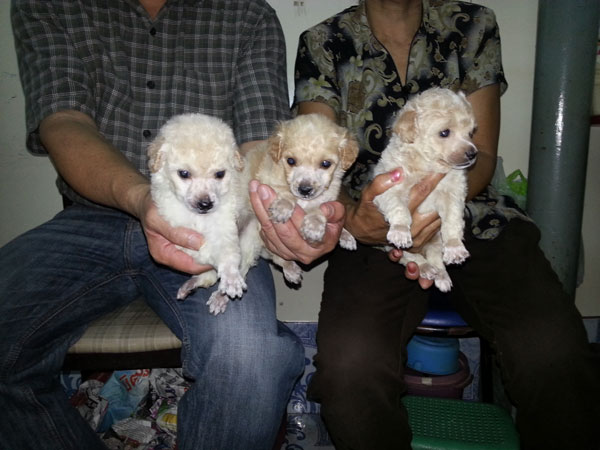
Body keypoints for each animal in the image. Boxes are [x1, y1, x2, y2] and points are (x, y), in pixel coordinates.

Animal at [148, 113, 260, 314]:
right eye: (184, 173)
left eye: (220, 174)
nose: (205, 204)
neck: (200, 218)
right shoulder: (175, 223)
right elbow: (201, 250)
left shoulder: (224, 224)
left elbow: (227, 251)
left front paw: (230, 277)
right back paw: (192, 284)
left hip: (250, 236)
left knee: (243, 264)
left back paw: (220, 296)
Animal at [245, 113, 359, 284]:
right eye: (291, 161)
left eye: (325, 164)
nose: (304, 190)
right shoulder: (267, 180)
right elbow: (285, 191)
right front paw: (282, 208)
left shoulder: (326, 196)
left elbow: (318, 209)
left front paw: (314, 227)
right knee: (278, 259)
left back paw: (346, 236)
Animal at [372, 87, 478, 292]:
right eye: (444, 132)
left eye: (470, 133)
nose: (473, 153)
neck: (427, 165)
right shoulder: (389, 187)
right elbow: (399, 208)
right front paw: (400, 231)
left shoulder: (453, 194)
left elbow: (452, 221)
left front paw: (455, 248)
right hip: (396, 249)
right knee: (410, 257)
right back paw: (425, 268)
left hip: (435, 241)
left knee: (436, 258)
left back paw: (441, 276)